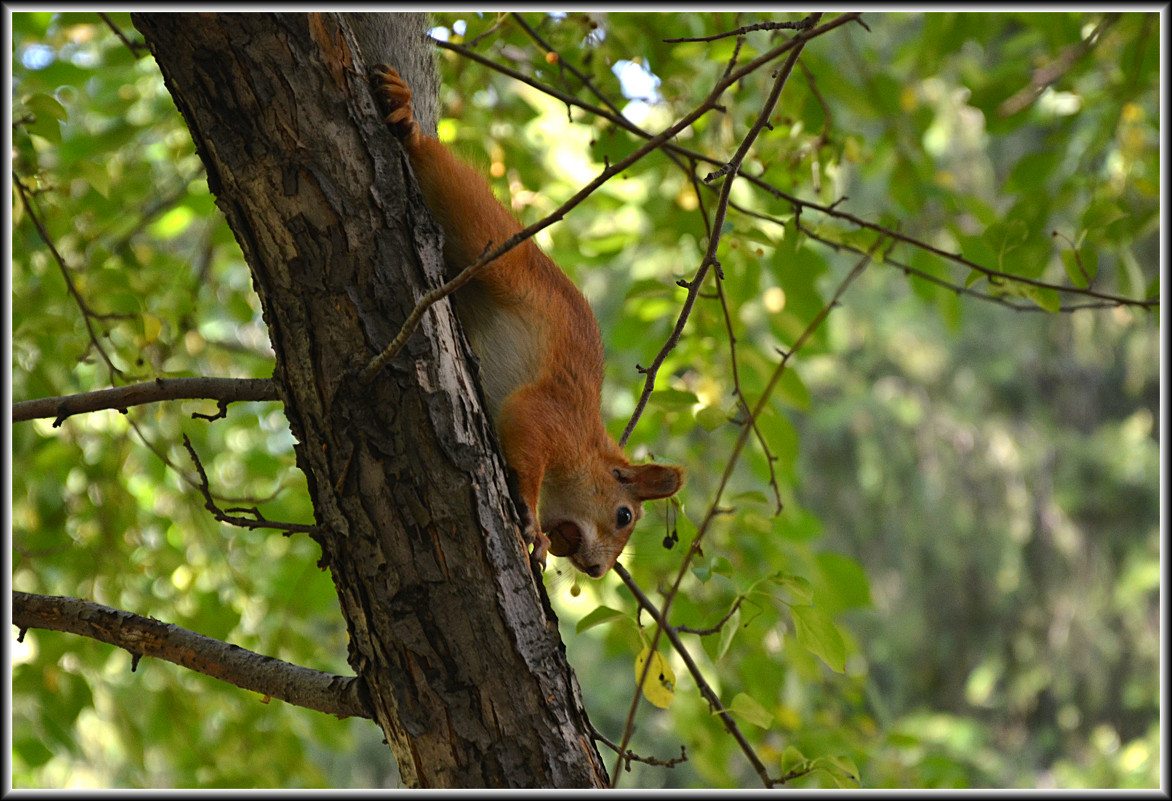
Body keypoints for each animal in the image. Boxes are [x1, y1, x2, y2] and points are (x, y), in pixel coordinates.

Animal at [375, 64, 684, 577]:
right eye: (624, 515)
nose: (597, 571)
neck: (586, 441)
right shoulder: (550, 415)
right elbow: (523, 433)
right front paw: (534, 528)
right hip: (483, 231)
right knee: (439, 169)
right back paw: (409, 123)